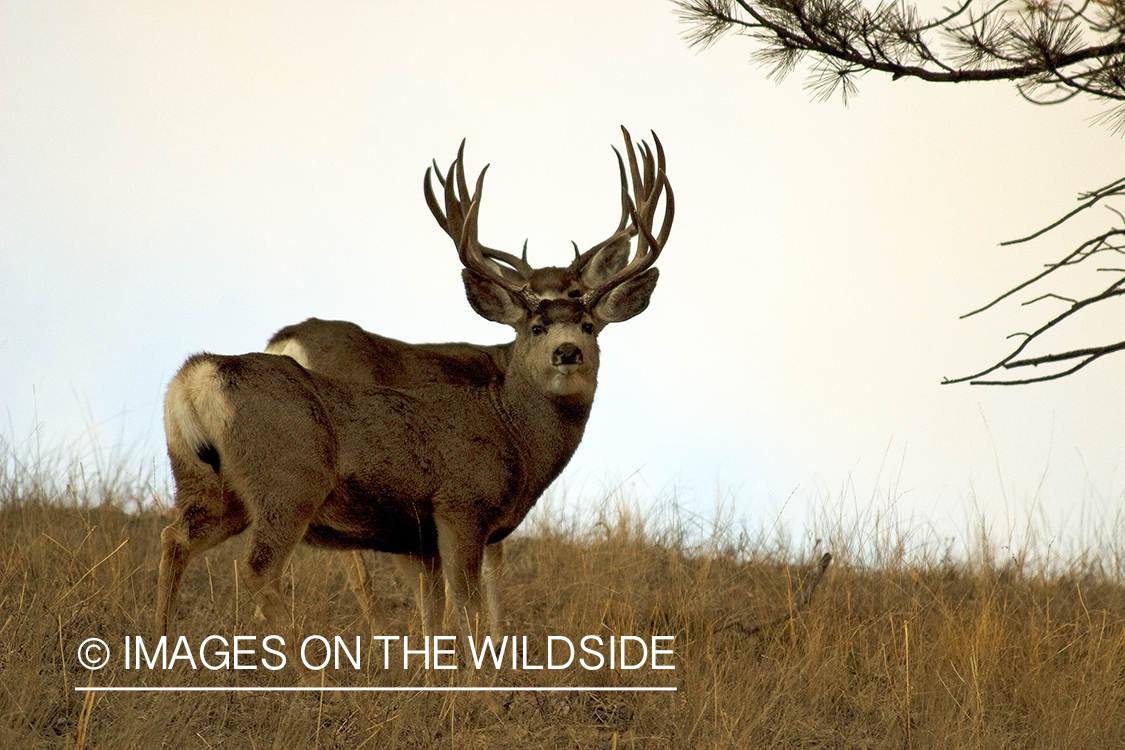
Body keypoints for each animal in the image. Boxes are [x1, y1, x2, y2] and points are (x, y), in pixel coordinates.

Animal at [156, 128, 673, 670]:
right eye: (536, 326)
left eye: (589, 323)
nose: (567, 351)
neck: (514, 430)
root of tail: (198, 375)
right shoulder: (461, 508)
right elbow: (470, 606)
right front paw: (482, 678)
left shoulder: (419, 540)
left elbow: (434, 614)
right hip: (288, 481)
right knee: (260, 570)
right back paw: (312, 674)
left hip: (208, 482)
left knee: (175, 538)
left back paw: (161, 647)